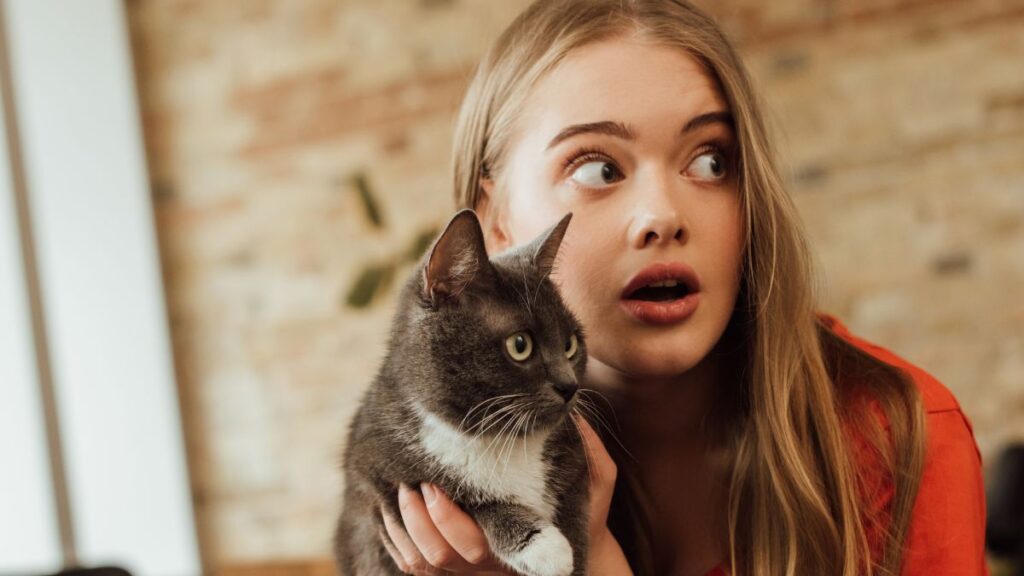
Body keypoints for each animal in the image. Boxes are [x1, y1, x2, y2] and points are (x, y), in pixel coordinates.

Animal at [333, 207, 589, 573]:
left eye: (570, 345)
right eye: (520, 345)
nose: (570, 385)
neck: (498, 441)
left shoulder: (576, 466)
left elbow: (576, 518)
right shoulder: (379, 483)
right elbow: (468, 499)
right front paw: (541, 545)